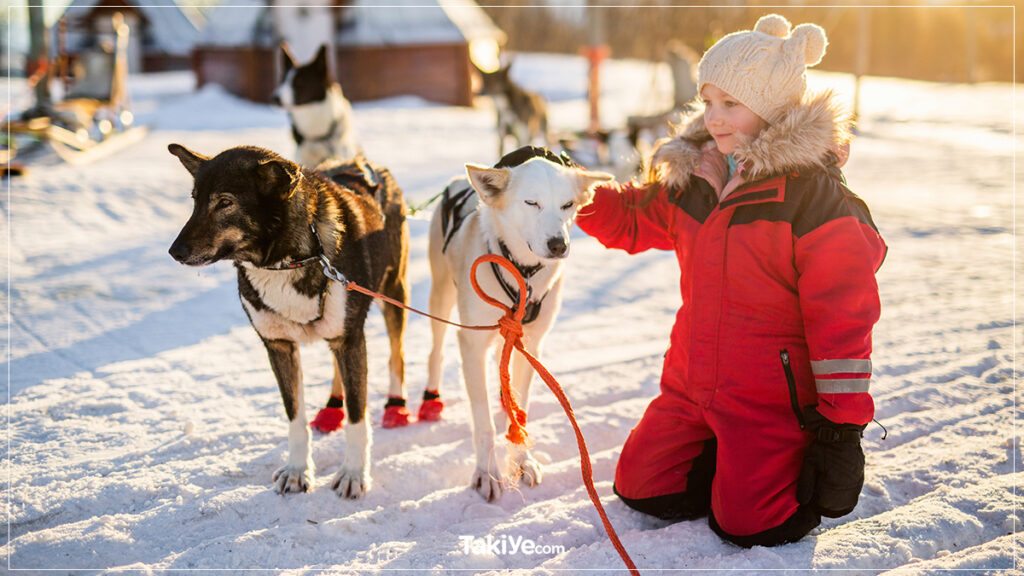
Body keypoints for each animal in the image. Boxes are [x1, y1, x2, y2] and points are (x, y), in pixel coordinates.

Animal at [167, 144, 407, 498]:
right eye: (195, 200)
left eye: (225, 202)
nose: (175, 251)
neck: (286, 260)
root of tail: (363, 162)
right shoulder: (279, 346)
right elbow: (295, 417)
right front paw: (297, 470)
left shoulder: (350, 339)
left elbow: (357, 417)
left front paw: (353, 473)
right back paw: (331, 408)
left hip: (394, 294)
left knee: (396, 357)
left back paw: (396, 405)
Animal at [425, 146, 610, 498]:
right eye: (531, 202)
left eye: (567, 205)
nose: (558, 245)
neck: (520, 272)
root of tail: (457, 182)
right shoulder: (472, 344)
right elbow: (483, 422)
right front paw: (487, 473)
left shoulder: (531, 344)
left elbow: (520, 405)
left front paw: (522, 460)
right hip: (441, 296)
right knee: (435, 352)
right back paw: (430, 398)